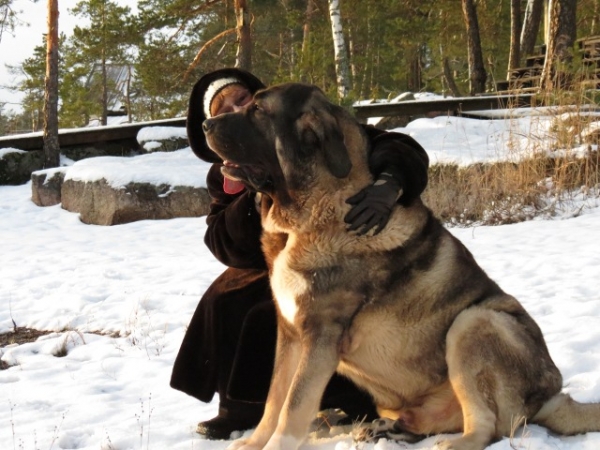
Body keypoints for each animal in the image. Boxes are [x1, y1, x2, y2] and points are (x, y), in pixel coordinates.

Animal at [203, 84, 600, 450]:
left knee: (489, 427)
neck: (312, 214)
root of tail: (551, 397)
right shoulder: (290, 333)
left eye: (257, 110)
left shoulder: (320, 334)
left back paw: (453, 442)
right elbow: (275, 398)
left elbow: (294, 404)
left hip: (475, 322)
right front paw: (253, 443)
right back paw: (387, 429)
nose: (206, 123)